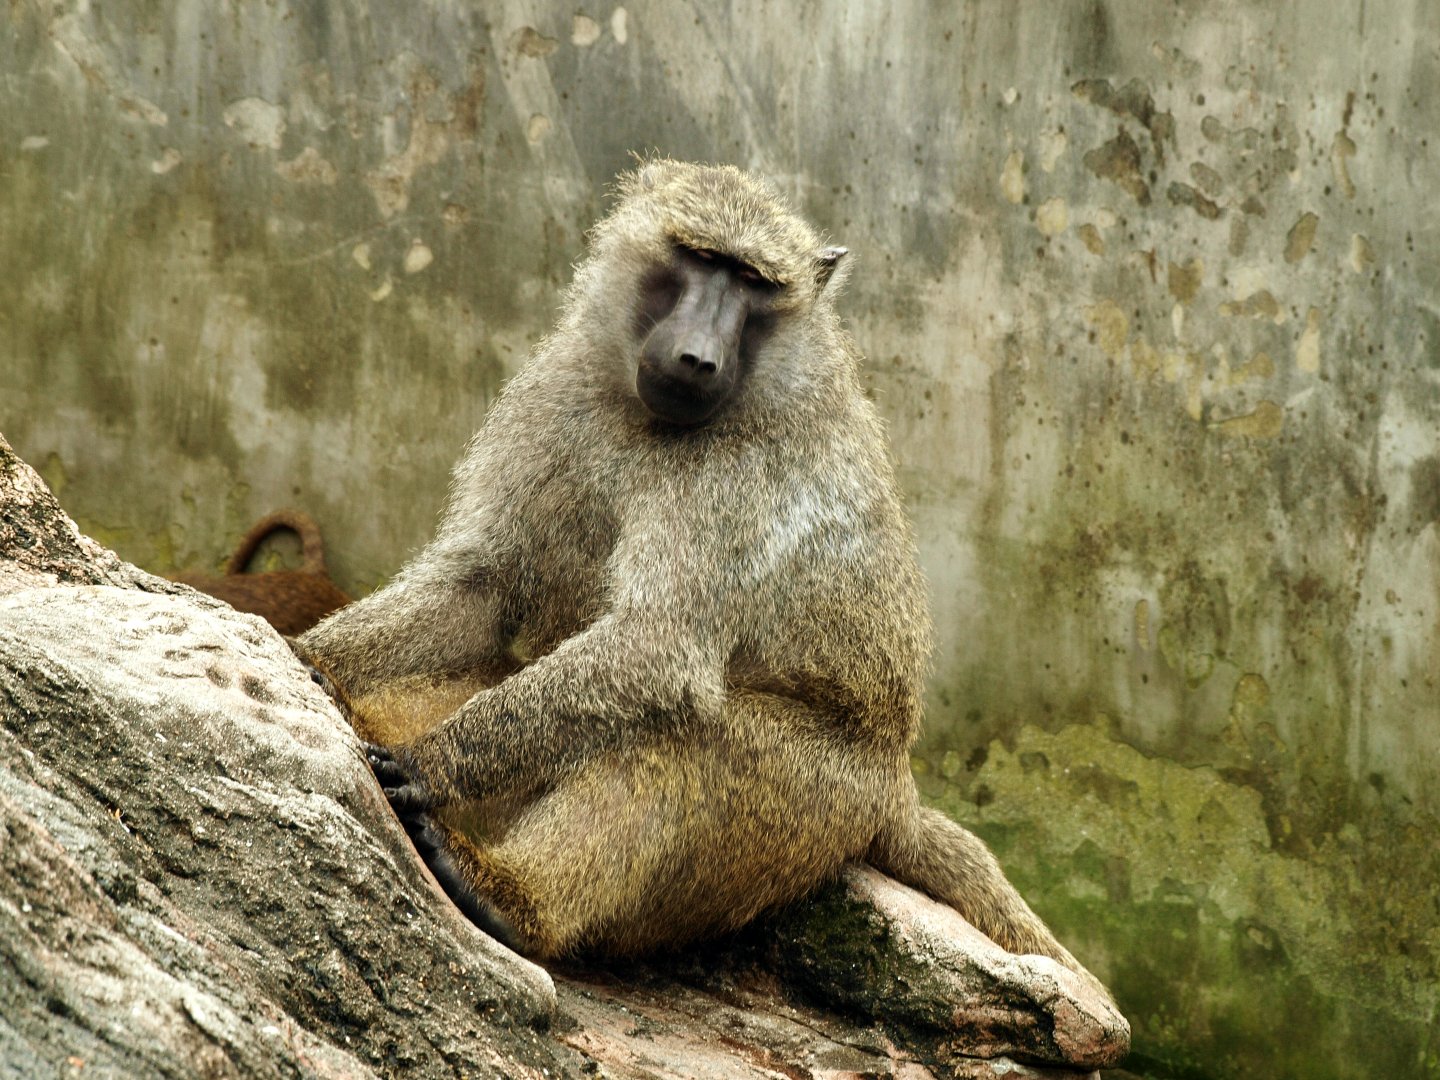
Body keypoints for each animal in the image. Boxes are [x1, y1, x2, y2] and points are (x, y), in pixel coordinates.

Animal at [295, 159, 1089, 977]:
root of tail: (896, 788)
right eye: (702, 259)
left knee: (683, 736)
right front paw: (304, 656)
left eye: (752, 282)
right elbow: (485, 588)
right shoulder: (560, 393)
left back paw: (511, 901)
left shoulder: (737, 480)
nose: (698, 357)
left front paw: (427, 766)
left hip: (820, 800)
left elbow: (656, 651)